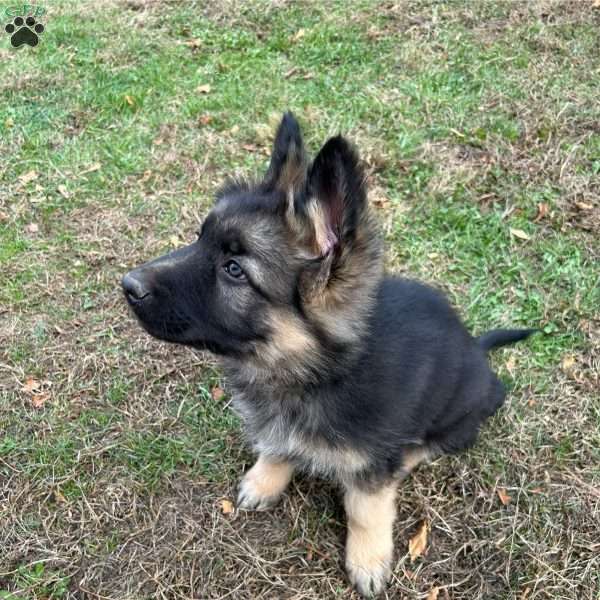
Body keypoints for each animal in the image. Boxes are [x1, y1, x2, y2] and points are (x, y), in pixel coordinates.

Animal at [122, 111, 536, 596]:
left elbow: (366, 509)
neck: (319, 370)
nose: (127, 285)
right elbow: (277, 445)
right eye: (200, 239)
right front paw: (266, 478)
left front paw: (368, 559)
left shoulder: (371, 466)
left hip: (462, 417)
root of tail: (476, 345)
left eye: (234, 269)